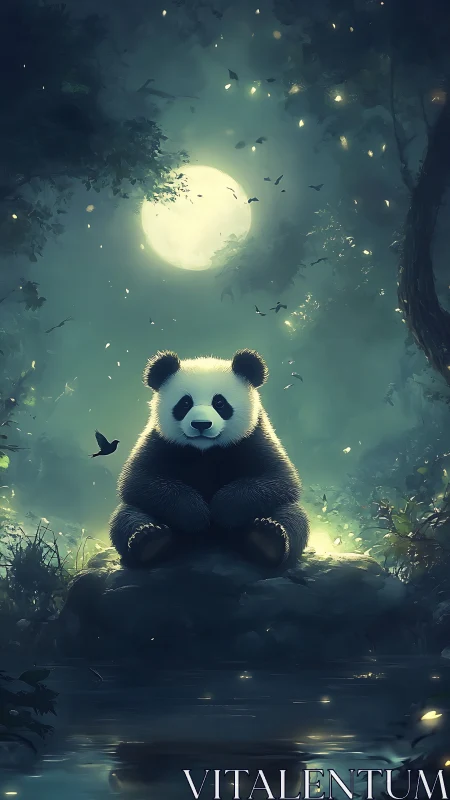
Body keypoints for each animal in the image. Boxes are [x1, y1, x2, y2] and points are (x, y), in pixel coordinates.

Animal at [109, 349, 309, 571]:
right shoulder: (159, 441)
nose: (201, 424)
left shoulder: (254, 437)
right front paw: (196, 515)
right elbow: (140, 482)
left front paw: (222, 509)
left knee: (292, 515)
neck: (205, 451)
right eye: (185, 403)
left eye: (219, 403)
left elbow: (278, 479)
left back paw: (267, 539)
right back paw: (150, 541)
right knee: (127, 516)